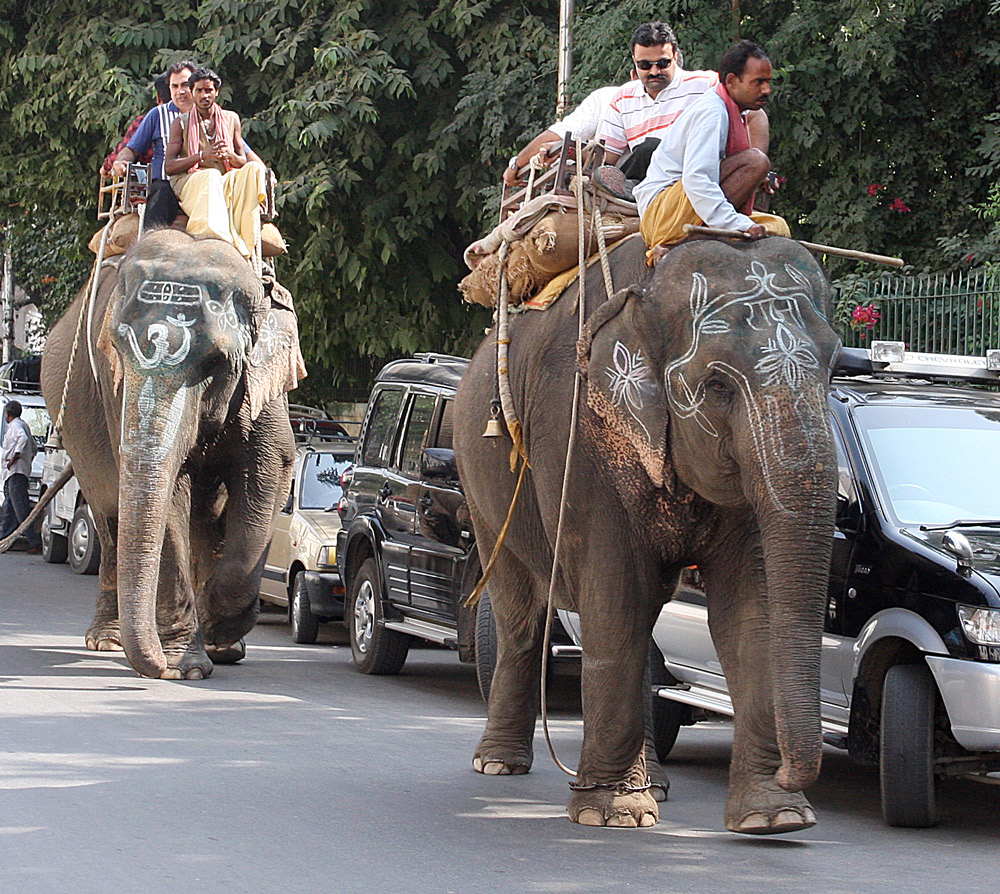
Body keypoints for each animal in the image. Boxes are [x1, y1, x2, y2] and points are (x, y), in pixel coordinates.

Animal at [40, 229, 304, 680]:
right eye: (116, 349)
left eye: (217, 361)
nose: (158, 668)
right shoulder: (114, 392)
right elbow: (167, 499)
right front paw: (185, 667)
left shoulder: (264, 388)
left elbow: (270, 470)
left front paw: (218, 632)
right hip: (77, 434)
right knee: (109, 516)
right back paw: (107, 641)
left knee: (208, 519)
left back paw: (222, 644)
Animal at [456, 236, 844, 832]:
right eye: (716, 385)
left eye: (832, 368)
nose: (789, 774)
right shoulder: (578, 437)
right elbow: (616, 598)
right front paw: (611, 814)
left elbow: (748, 611)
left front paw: (775, 819)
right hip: (480, 480)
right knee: (522, 612)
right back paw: (499, 765)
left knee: (645, 620)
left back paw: (653, 785)